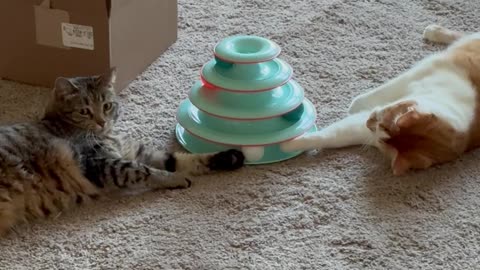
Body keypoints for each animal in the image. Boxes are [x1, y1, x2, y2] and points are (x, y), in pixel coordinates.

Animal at [0, 68, 244, 235]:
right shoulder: (100, 163)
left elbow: (181, 159)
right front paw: (176, 178)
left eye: (107, 106)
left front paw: (227, 157)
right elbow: (143, 170)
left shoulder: (137, 152)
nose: (101, 121)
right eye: (84, 111)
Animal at [282, 24, 480, 175]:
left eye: (379, 139)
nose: (369, 121)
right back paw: (435, 31)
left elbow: (334, 136)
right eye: (385, 115)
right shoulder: (419, 74)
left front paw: (288, 145)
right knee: (465, 34)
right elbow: (376, 94)